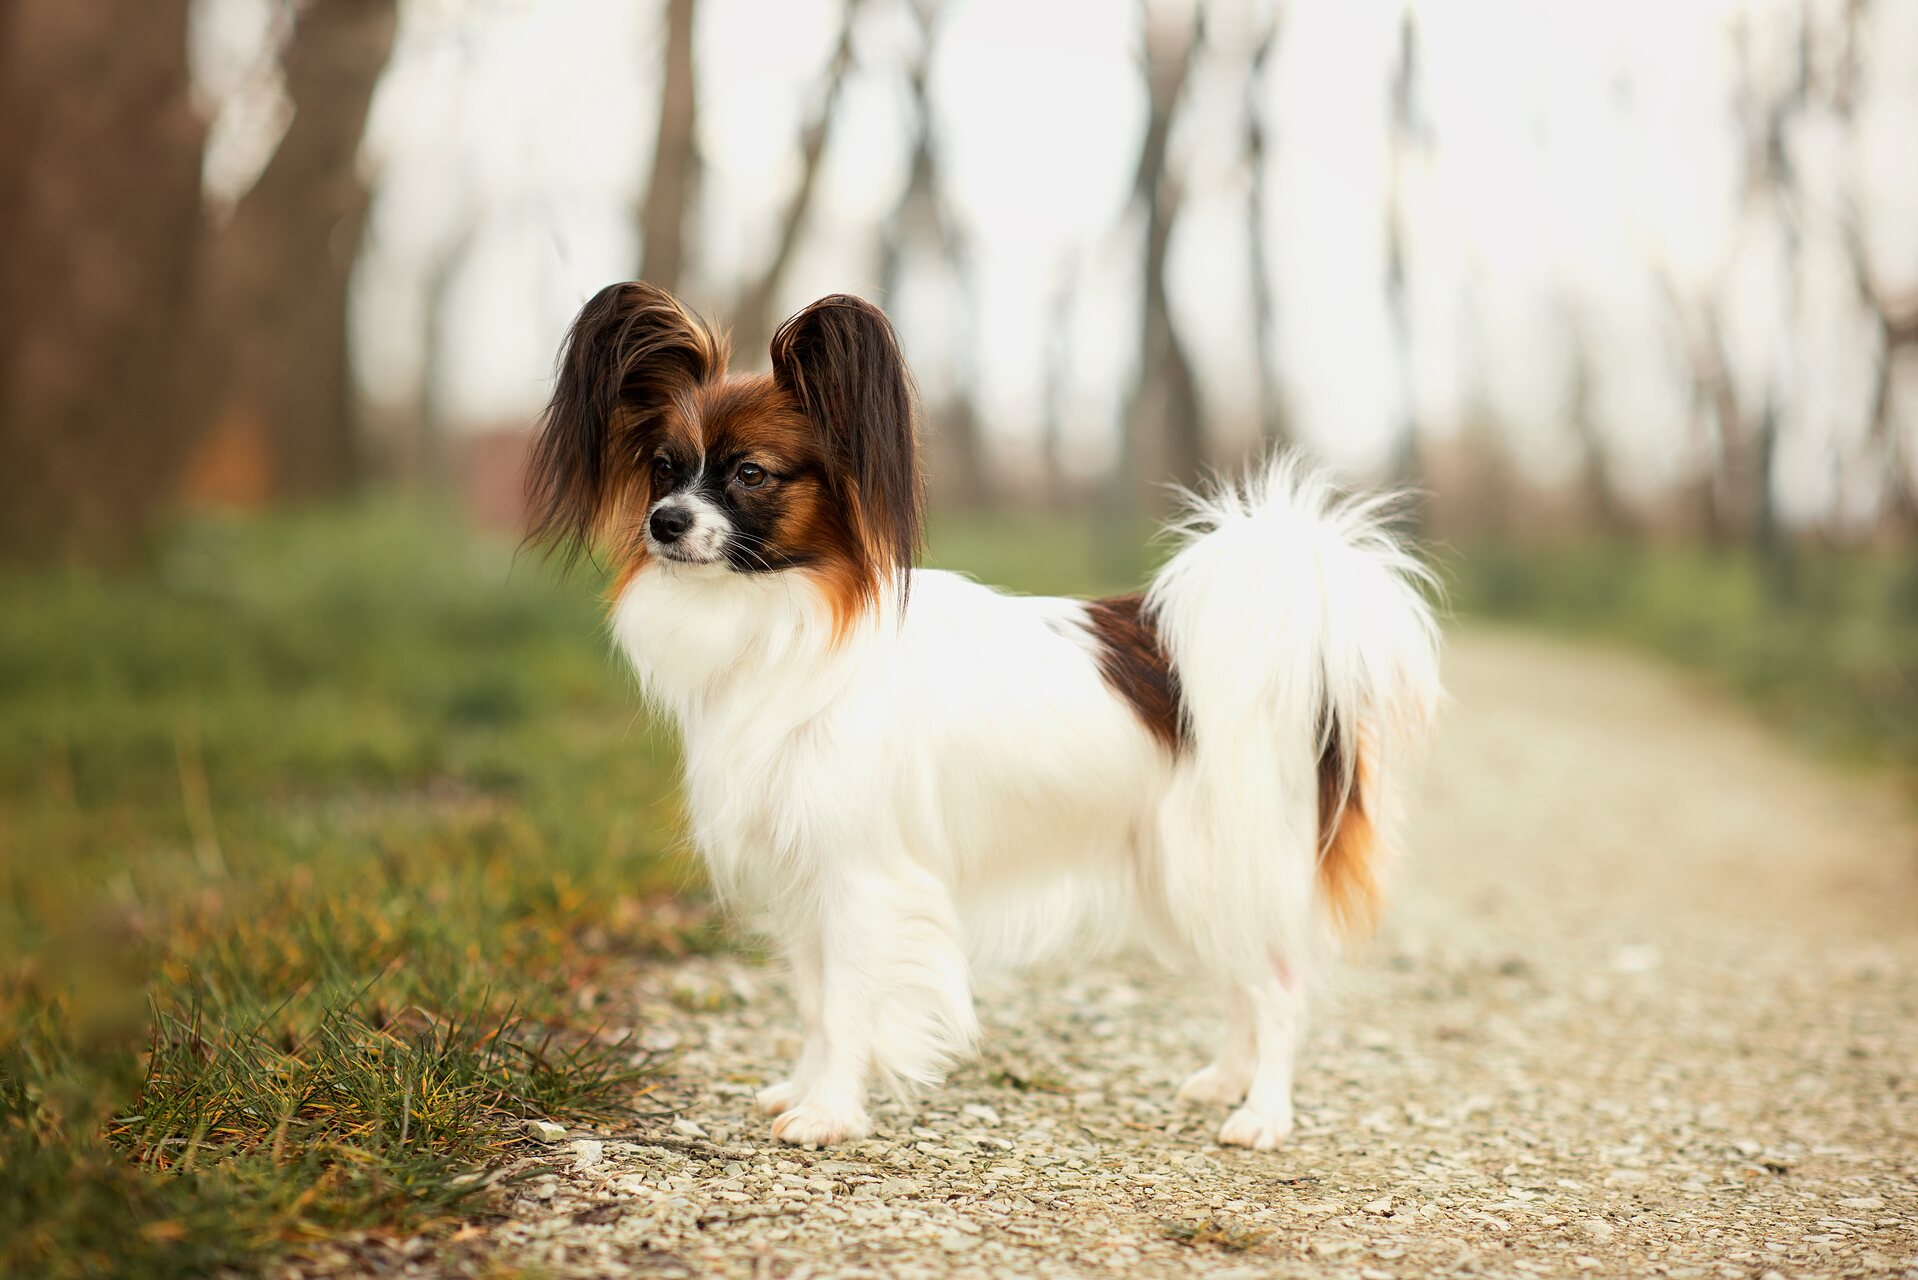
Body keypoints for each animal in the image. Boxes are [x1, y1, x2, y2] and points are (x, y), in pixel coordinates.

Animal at [525, 280, 1442, 1151]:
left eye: (750, 473)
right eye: (662, 467)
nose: (664, 522)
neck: (784, 621)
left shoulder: (862, 875)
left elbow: (848, 1007)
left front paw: (829, 1115)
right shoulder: (805, 871)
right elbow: (818, 1005)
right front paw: (804, 1091)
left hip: (1217, 867)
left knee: (1278, 990)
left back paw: (1264, 1117)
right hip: (1179, 881)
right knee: (1245, 988)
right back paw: (1226, 1083)